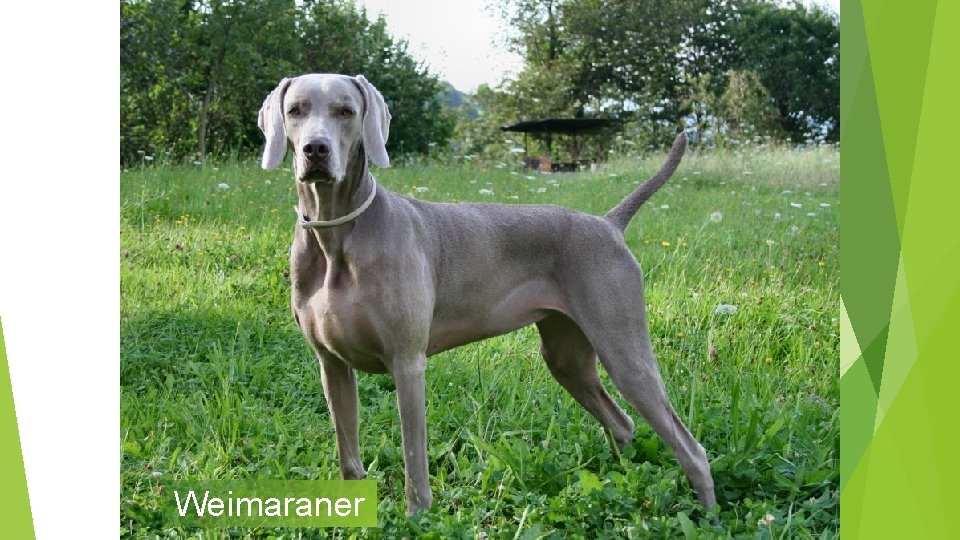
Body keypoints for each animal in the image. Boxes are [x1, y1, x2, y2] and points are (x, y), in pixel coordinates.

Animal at [258, 73, 716, 516]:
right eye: (295, 110)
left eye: (346, 111)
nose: (316, 150)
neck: (336, 234)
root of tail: (608, 224)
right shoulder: (331, 364)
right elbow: (348, 455)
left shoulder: (406, 362)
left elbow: (413, 457)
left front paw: (418, 517)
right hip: (566, 354)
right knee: (621, 422)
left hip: (623, 347)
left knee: (690, 447)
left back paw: (708, 514)